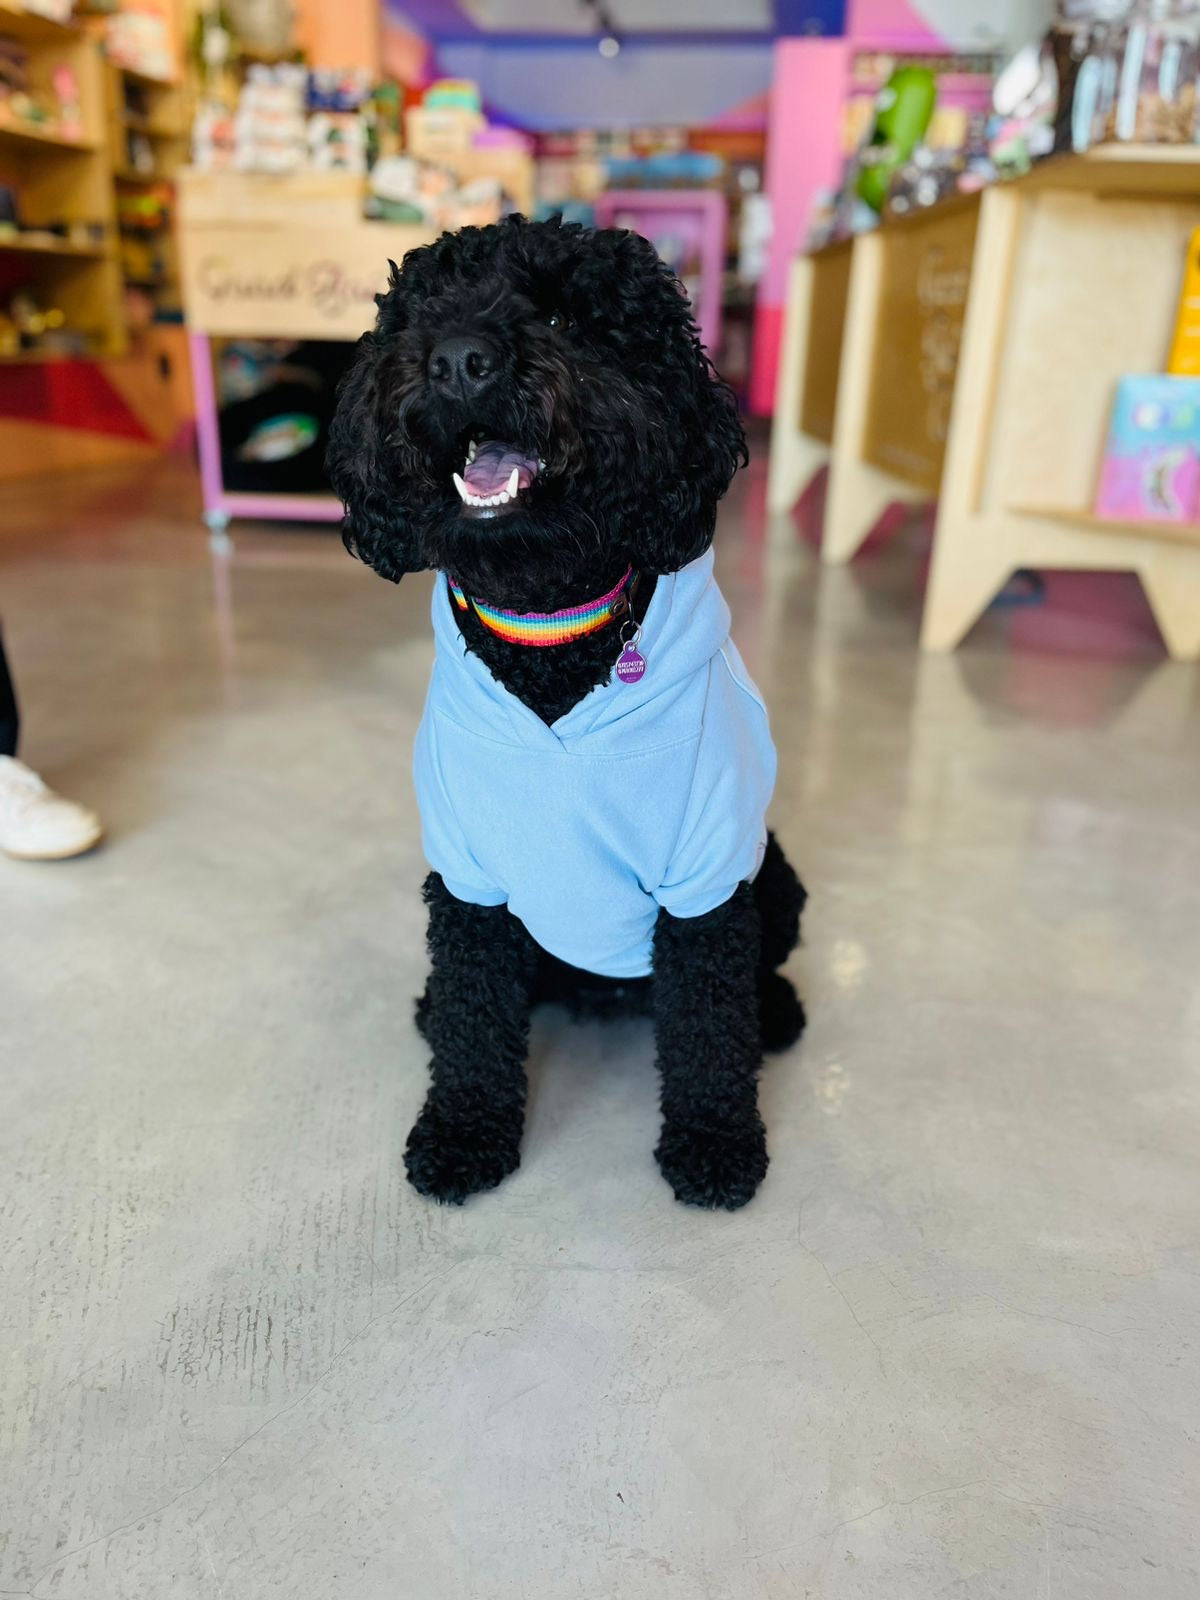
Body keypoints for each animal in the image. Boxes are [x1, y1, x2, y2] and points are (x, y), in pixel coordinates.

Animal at [329, 216, 809, 1209]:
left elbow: (710, 1028)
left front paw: (715, 1142)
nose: (459, 360)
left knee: (758, 976)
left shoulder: (708, 882)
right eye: (419, 315)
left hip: (772, 874)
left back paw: (777, 1013)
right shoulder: (467, 880)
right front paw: (463, 1132)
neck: (550, 637)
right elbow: (474, 1021)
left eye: (561, 314)